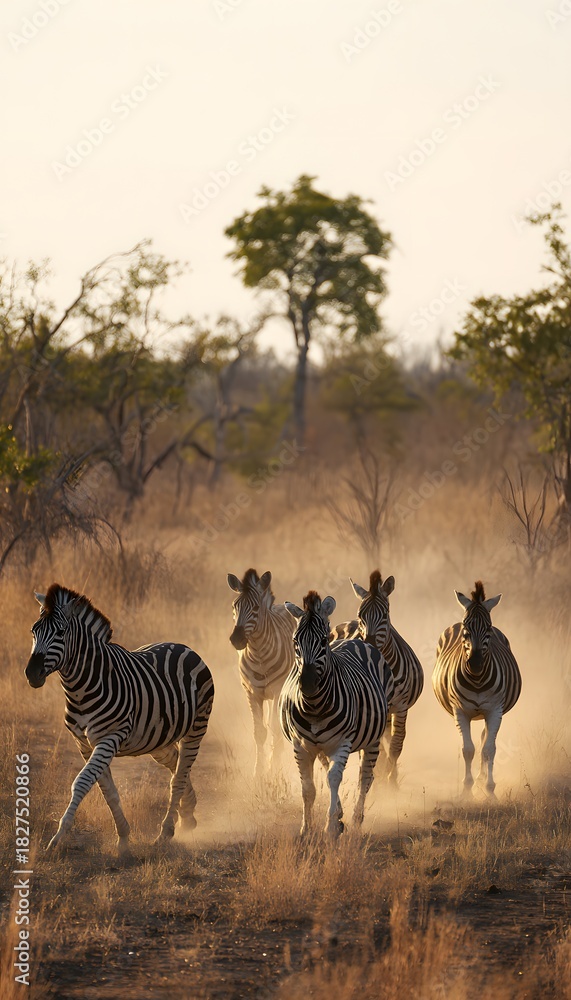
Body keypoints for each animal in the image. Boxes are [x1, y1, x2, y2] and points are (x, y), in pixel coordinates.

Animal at [25, 584, 214, 856]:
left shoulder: (109, 738)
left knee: (179, 776)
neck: (80, 688)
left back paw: (166, 831)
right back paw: (187, 814)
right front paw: (123, 838)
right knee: (177, 765)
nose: (31, 674)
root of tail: (185, 647)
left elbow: (81, 783)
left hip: (197, 728)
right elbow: (108, 791)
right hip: (157, 738)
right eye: (33, 631)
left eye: (60, 632)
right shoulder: (85, 744)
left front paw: (58, 837)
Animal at [227, 568, 295, 777]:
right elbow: (259, 733)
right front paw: (259, 773)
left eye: (256, 608)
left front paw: (274, 770)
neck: (259, 654)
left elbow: (274, 729)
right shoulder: (252, 693)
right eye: (234, 606)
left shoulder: (278, 691)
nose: (236, 639)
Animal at [279, 591, 390, 838]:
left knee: (364, 777)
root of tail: (357, 640)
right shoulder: (300, 745)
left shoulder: (342, 742)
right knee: (327, 767)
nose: (307, 684)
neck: (314, 707)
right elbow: (308, 787)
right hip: (320, 745)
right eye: (295, 642)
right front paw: (307, 829)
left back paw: (356, 820)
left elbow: (334, 778)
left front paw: (330, 827)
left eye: (322, 641)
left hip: (373, 738)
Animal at [331, 571, 424, 784]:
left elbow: (397, 744)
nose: (369, 643)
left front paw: (390, 782)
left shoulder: (401, 706)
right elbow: (377, 748)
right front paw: (381, 779)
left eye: (385, 614)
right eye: (361, 615)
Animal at [432, 580, 522, 797]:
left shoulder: (495, 710)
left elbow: (489, 749)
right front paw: (466, 790)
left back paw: (482, 779)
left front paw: (490, 790)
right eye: (466, 627)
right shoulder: (460, 711)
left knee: (485, 740)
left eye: (488, 628)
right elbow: (468, 750)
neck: (478, 680)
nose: (475, 664)